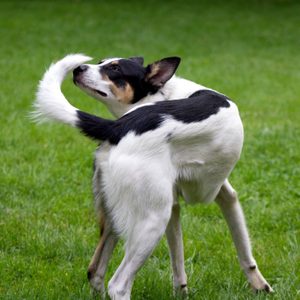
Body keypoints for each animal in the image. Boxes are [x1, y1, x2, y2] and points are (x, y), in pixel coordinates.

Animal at [34, 53, 274, 298]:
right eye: (102, 63)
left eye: (114, 68)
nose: (79, 69)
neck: (163, 93)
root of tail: (118, 127)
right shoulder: (220, 195)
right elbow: (243, 250)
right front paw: (261, 286)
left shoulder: (185, 205)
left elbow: (180, 260)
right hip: (152, 222)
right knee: (118, 285)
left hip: (119, 217)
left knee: (95, 272)